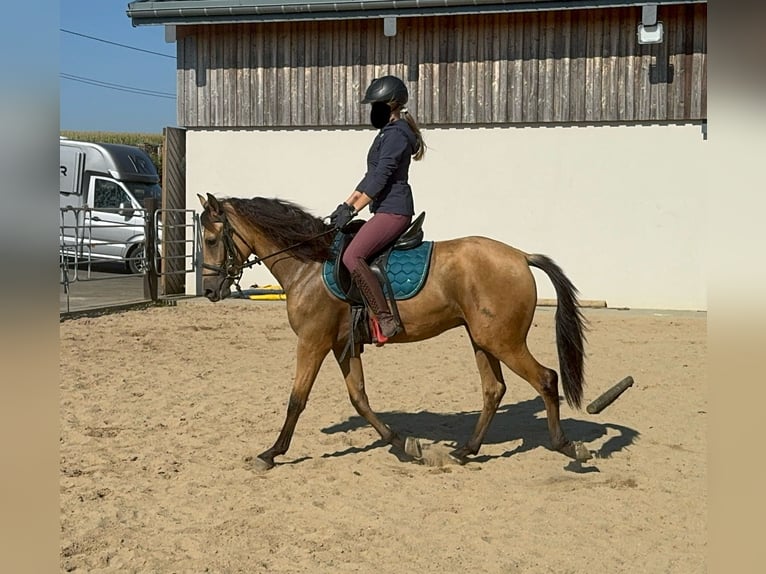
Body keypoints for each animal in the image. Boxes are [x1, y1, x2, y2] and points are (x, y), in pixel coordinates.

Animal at [195, 195, 592, 472]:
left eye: (212, 239)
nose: (210, 291)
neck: (308, 264)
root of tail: (520, 256)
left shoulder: (313, 342)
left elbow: (297, 399)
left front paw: (270, 454)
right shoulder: (342, 345)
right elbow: (359, 397)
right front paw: (403, 444)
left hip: (503, 341)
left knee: (545, 378)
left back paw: (568, 447)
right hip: (482, 340)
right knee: (494, 390)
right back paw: (465, 451)